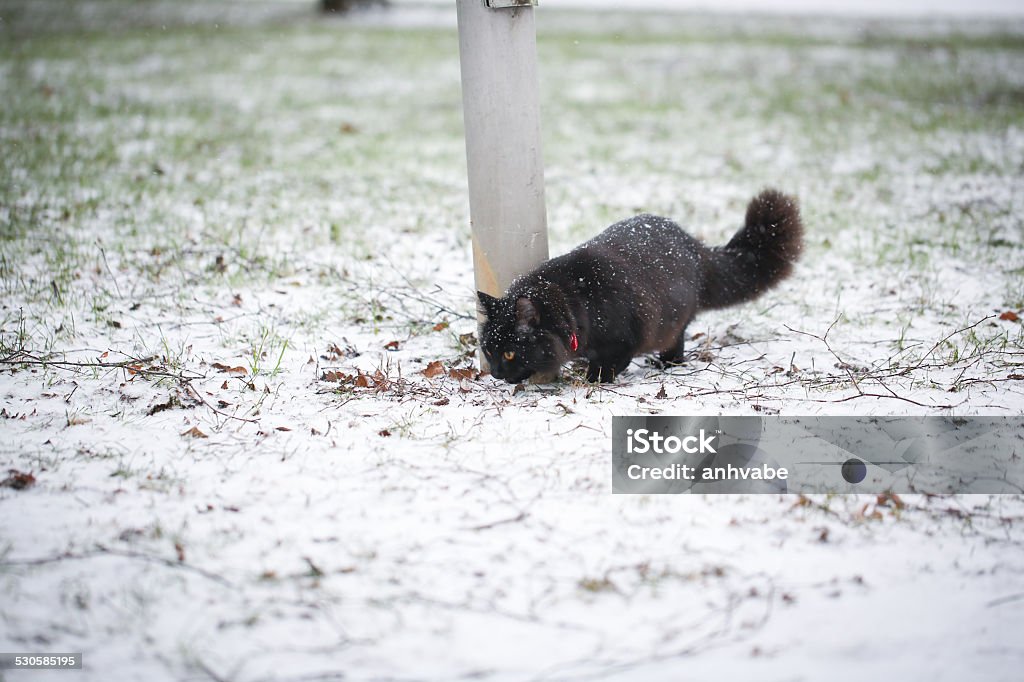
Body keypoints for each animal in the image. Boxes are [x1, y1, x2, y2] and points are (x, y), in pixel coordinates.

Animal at [475, 188, 802, 382]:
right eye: (488, 351)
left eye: (509, 353)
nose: (496, 374)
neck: (576, 303)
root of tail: (694, 245)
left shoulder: (624, 341)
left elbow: (607, 367)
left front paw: (592, 380)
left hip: (673, 321)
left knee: (676, 343)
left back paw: (667, 365)